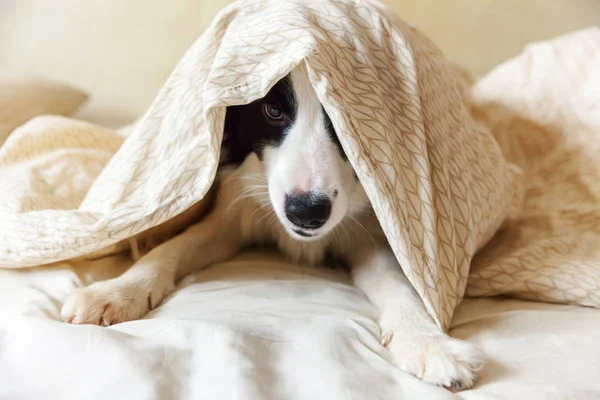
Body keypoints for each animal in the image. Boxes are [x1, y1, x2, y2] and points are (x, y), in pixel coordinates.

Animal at [61, 63, 482, 390]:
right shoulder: (235, 211)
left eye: (344, 118)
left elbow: (397, 284)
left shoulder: (369, 231)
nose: (306, 212)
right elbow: (174, 249)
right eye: (272, 110)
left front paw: (430, 344)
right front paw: (114, 292)